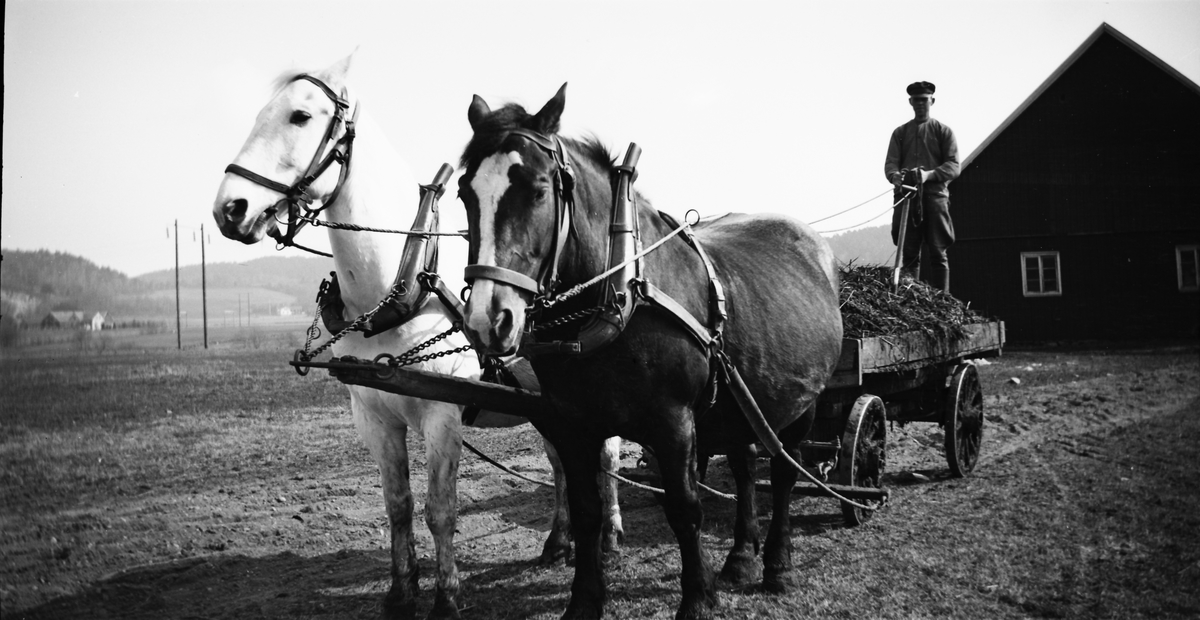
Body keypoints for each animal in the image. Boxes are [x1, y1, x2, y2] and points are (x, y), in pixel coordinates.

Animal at [212, 54, 624, 618]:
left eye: (300, 116)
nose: (229, 208)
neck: (400, 285)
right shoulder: (373, 417)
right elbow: (398, 506)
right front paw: (400, 592)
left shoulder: (440, 416)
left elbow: (440, 509)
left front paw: (446, 597)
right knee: (562, 462)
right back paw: (559, 543)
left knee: (606, 457)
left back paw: (609, 538)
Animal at [456, 83, 844, 618]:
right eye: (464, 193)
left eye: (537, 189)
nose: (487, 319)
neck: (619, 295)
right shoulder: (571, 424)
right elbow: (587, 510)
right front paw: (584, 600)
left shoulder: (672, 421)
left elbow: (684, 508)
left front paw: (698, 598)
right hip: (743, 398)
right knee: (746, 467)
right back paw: (741, 556)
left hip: (801, 402)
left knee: (784, 471)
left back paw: (777, 564)